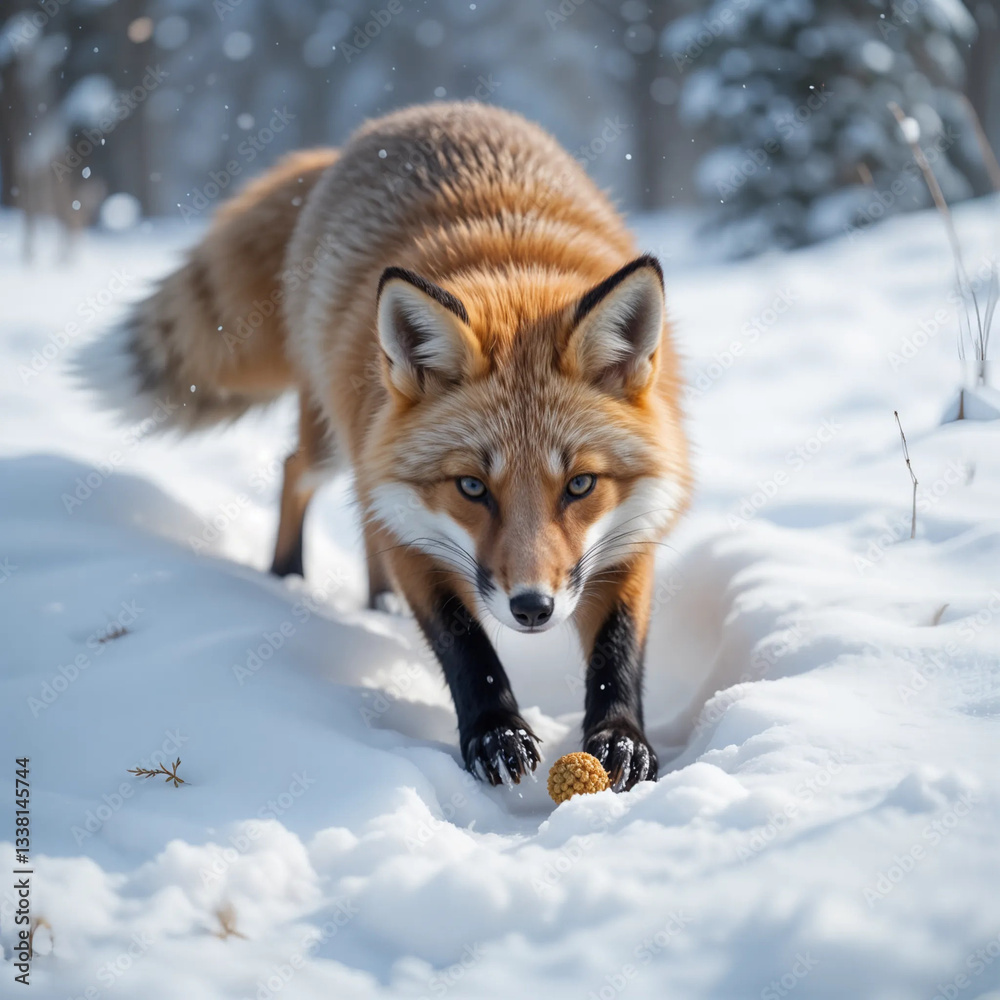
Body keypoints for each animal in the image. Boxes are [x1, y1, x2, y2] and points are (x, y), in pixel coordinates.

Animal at [77, 102, 691, 792]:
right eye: (472, 487)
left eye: (580, 484)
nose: (532, 608)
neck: (512, 270)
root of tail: (397, 120)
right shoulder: (415, 536)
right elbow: (465, 644)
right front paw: (495, 731)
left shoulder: (631, 530)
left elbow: (618, 649)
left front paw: (621, 739)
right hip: (338, 442)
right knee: (297, 470)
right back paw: (287, 578)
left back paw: (380, 603)